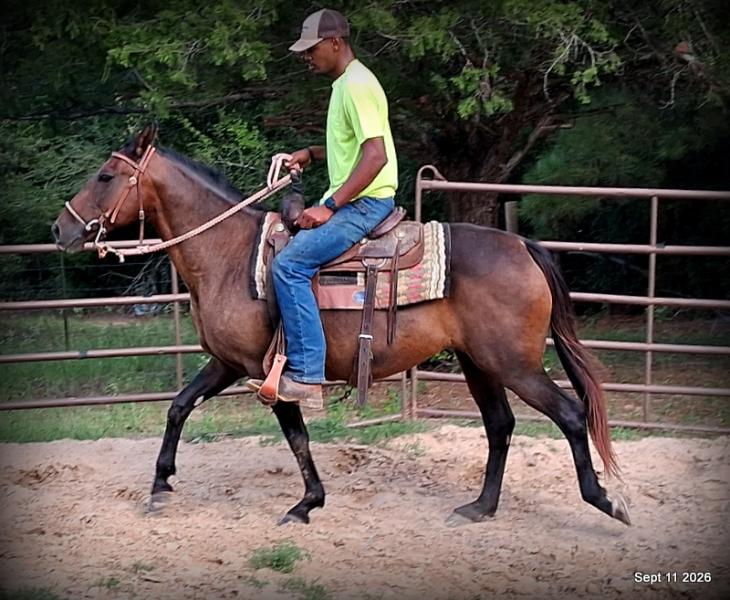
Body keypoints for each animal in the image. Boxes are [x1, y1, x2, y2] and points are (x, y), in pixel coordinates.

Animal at [51, 125, 630, 527]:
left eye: (105, 176)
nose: (60, 229)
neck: (229, 256)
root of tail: (524, 246)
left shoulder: (271, 373)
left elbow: (297, 436)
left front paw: (306, 504)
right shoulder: (227, 363)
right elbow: (178, 407)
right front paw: (160, 485)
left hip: (513, 364)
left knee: (570, 415)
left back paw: (604, 500)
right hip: (479, 363)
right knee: (500, 425)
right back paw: (480, 507)